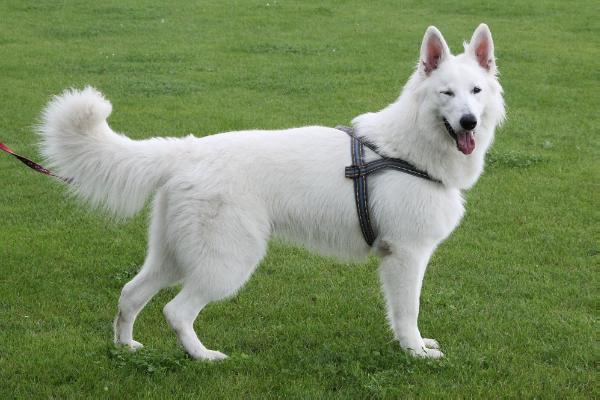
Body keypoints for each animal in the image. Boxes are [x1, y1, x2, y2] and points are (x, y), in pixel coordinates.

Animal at [37, 23, 504, 360]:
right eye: (446, 93)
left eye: (476, 92)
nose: (468, 122)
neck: (408, 149)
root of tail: (188, 149)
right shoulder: (406, 255)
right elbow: (409, 312)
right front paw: (415, 352)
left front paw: (416, 347)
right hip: (228, 262)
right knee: (176, 310)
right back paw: (204, 357)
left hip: (173, 256)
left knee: (130, 294)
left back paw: (126, 348)